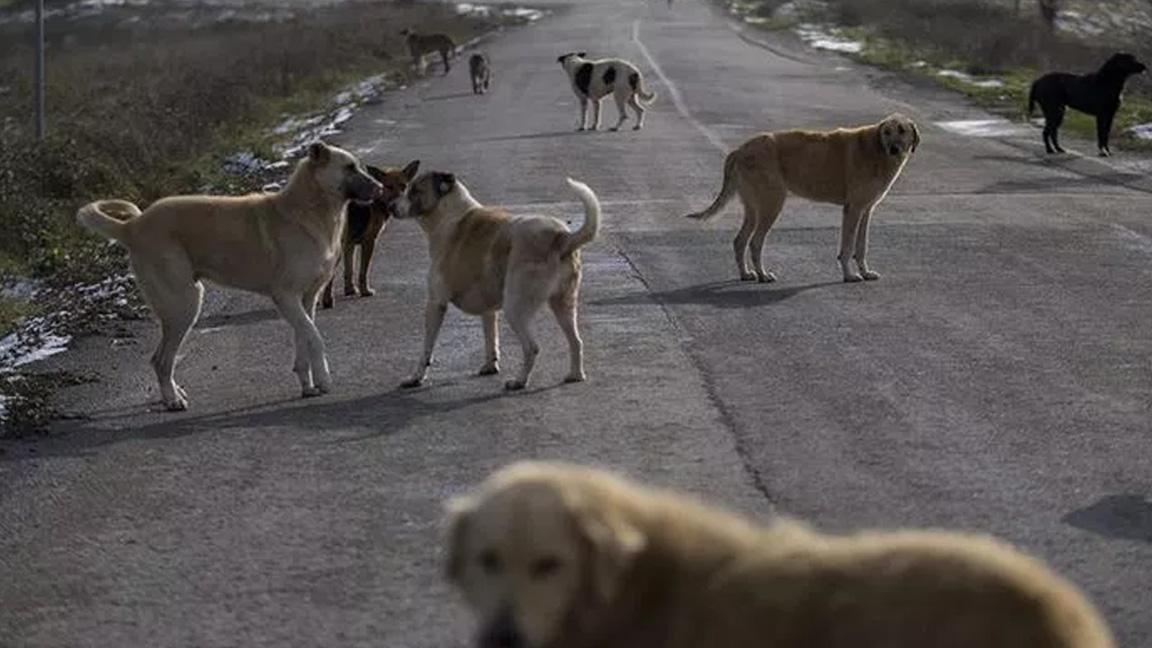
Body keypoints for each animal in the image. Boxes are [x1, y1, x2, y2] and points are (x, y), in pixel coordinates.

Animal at [75, 141, 382, 408]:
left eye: (358, 166)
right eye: (350, 167)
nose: (380, 188)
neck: (309, 209)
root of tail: (133, 226)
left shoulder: (306, 299)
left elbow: (304, 340)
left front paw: (309, 385)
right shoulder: (285, 297)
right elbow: (315, 338)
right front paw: (325, 380)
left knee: (161, 359)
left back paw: (174, 393)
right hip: (184, 305)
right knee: (161, 360)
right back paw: (172, 400)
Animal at [320, 157, 419, 306]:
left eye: (403, 186)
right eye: (388, 187)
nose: (398, 205)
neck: (378, 201)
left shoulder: (349, 245)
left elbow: (349, 270)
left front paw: (350, 290)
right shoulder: (369, 242)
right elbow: (363, 271)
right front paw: (365, 291)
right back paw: (328, 301)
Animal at [391, 171, 599, 387]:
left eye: (415, 190)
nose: (390, 206)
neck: (449, 214)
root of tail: (561, 237)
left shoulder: (435, 303)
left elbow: (426, 348)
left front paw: (416, 377)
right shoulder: (488, 309)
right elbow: (490, 337)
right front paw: (490, 366)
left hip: (515, 308)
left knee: (532, 347)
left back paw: (519, 381)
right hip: (563, 304)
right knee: (576, 341)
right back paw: (575, 375)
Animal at [681, 112, 916, 282]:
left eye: (901, 130)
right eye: (886, 132)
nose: (894, 148)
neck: (876, 150)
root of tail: (739, 150)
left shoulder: (866, 210)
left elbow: (861, 246)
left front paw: (865, 272)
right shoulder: (853, 209)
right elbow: (848, 247)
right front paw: (849, 275)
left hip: (754, 208)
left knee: (740, 241)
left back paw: (746, 274)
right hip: (772, 205)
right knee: (755, 242)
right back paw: (762, 275)